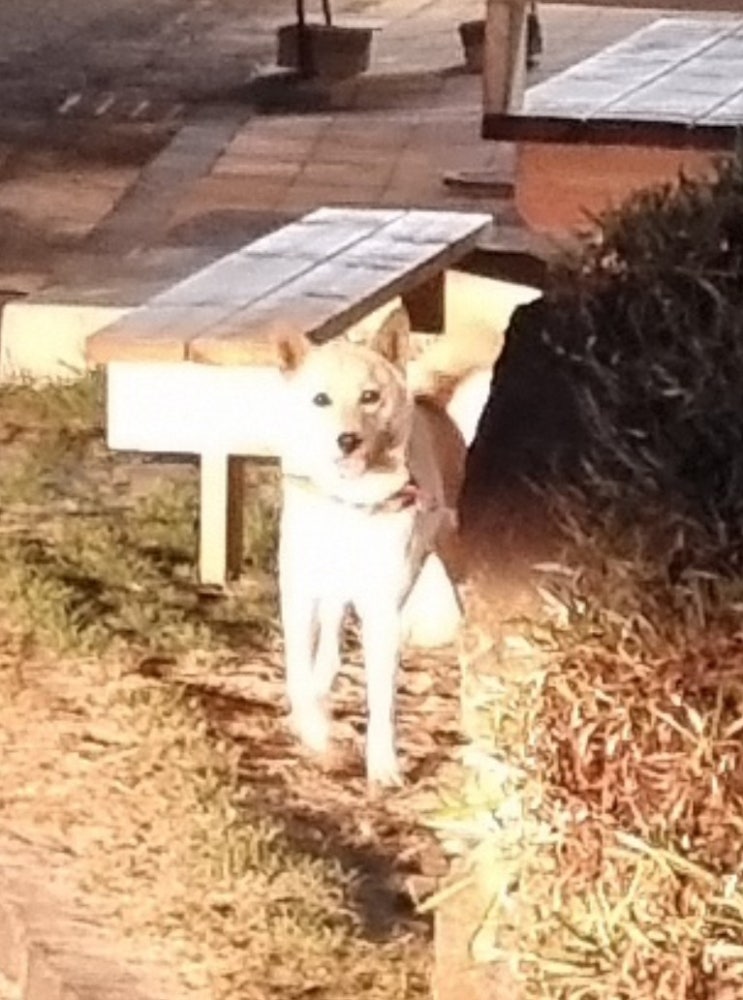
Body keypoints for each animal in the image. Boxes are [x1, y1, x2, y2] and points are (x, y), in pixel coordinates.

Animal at [275, 312, 466, 786]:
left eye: (370, 397)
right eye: (320, 399)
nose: (347, 440)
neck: (352, 503)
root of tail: (431, 401)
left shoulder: (382, 613)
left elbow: (383, 701)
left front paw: (383, 767)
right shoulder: (299, 597)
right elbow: (298, 675)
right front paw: (316, 733)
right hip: (331, 592)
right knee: (326, 652)